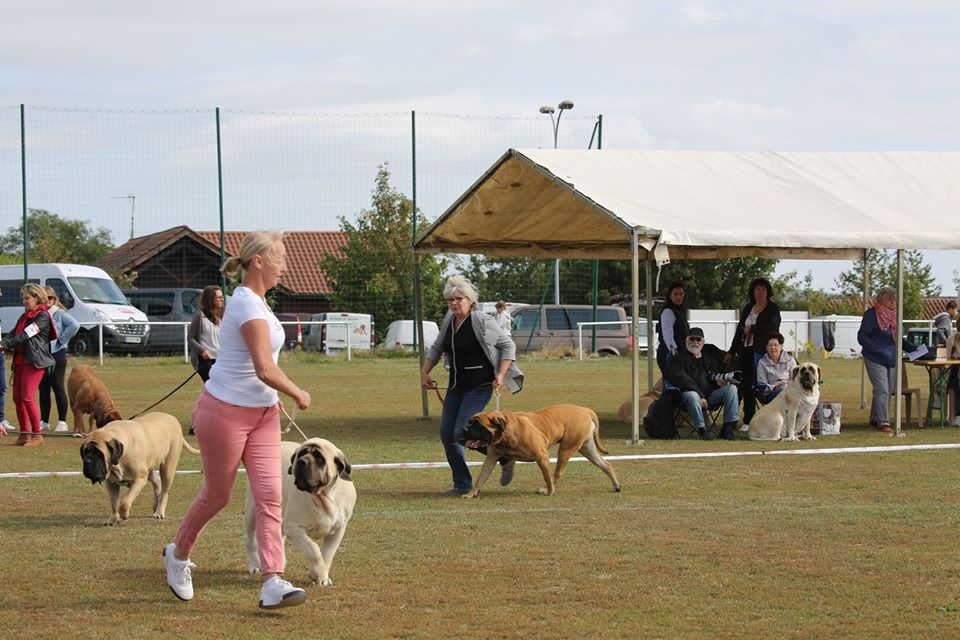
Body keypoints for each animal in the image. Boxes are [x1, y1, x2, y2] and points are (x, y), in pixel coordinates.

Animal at [244, 440, 356, 584]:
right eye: (301, 454)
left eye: (320, 458)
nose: (302, 461)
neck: (323, 497)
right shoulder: (294, 528)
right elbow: (313, 549)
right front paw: (316, 572)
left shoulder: (338, 531)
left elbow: (327, 555)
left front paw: (323, 577)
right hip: (252, 511)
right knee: (250, 539)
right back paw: (255, 565)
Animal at [460, 402, 624, 498]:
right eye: (470, 422)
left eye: (478, 426)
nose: (464, 429)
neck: (506, 433)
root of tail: (586, 410)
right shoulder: (491, 458)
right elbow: (481, 477)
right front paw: (471, 493)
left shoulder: (541, 456)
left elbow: (547, 476)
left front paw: (549, 491)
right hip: (587, 448)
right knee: (606, 465)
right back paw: (616, 486)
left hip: (566, 448)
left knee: (556, 473)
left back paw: (547, 489)